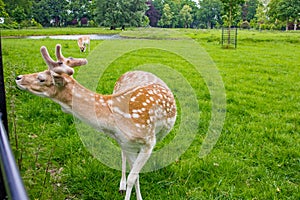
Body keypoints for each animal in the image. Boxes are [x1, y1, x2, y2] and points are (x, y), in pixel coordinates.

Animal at [15, 44, 176, 199]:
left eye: (41, 78)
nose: (18, 77)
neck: (114, 122)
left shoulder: (148, 141)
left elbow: (133, 177)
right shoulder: (126, 143)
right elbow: (133, 176)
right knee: (123, 156)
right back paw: (121, 185)